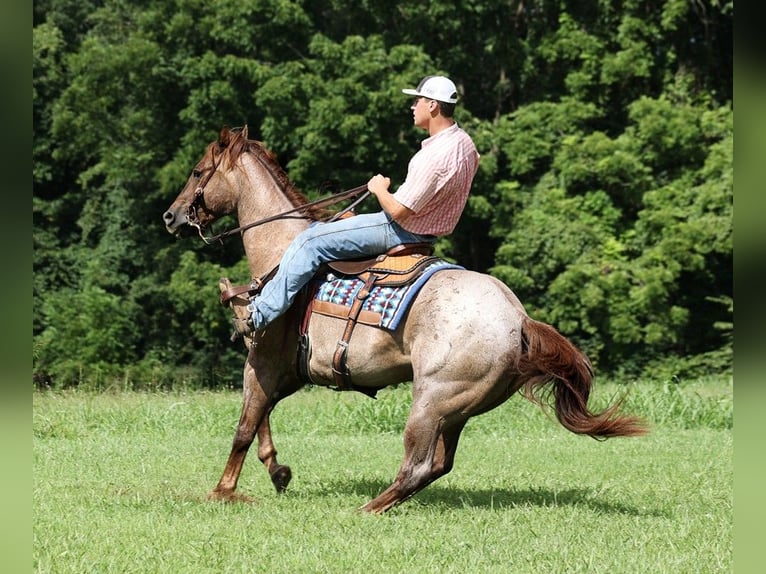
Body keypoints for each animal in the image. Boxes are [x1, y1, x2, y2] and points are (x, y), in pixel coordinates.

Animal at [162, 127, 648, 516]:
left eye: (198, 171)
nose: (171, 215)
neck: (281, 252)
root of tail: (520, 319)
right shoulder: (283, 369)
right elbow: (260, 417)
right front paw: (278, 471)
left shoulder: (263, 361)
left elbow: (244, 427)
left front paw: (223, 492)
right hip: (458, 409)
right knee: (439, 465)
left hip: (431, 401)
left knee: (418, 465)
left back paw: (366, 509)